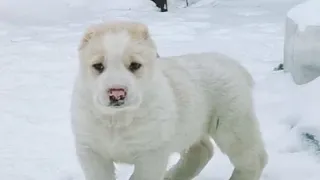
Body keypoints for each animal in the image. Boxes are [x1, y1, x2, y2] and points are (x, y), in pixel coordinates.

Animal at [71, 20, 268, 179]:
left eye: (135, 65)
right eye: (98, 66)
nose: (117, 93)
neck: (116, 120)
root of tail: (233, 63)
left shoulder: (150, 154)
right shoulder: (91, 151)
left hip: (233, 124)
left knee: (253, 159)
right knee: (201, 150)